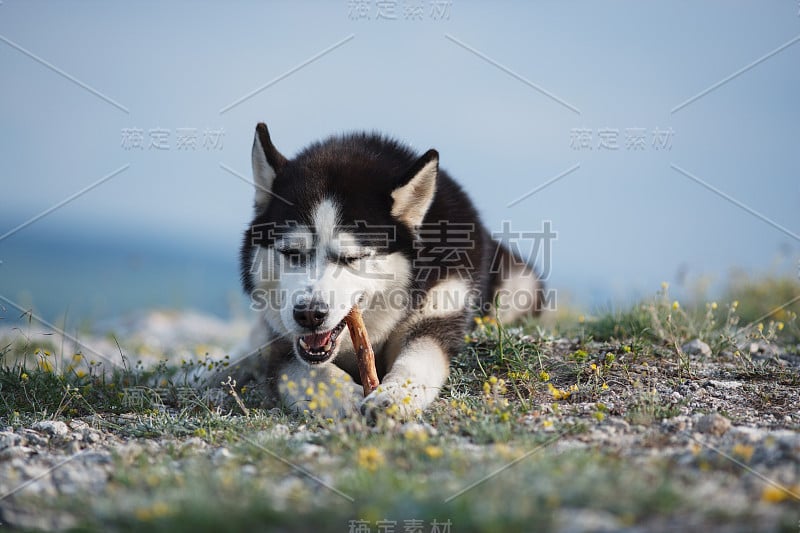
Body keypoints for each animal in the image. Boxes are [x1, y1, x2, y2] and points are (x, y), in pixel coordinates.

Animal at [225, 122, 544, 418]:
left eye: (352, 257)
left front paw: (393, 395)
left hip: (519, 286)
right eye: (292, 253)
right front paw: (343, 396)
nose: (309, 315)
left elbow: (419, 359)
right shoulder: (283, 345)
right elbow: (305, 372)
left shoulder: (440, 308)